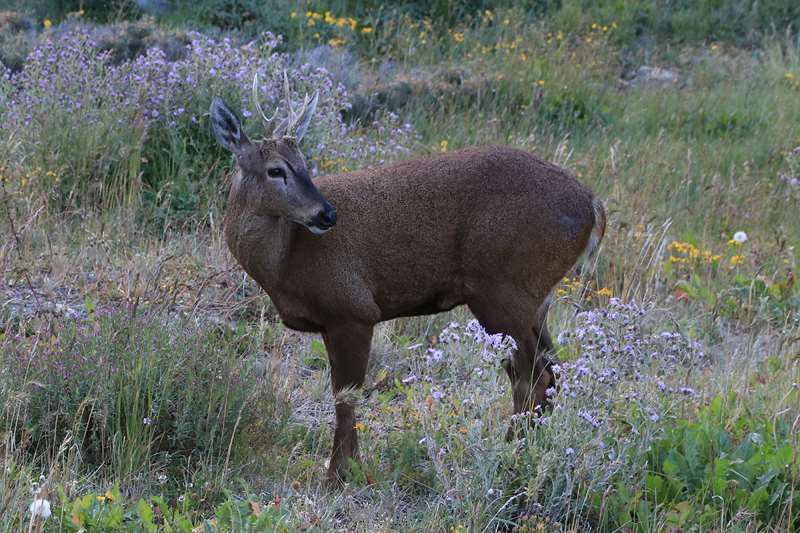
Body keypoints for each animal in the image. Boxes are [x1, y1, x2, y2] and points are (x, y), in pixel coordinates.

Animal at [209, 75, 604, 482]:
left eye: (304, 164)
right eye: (276, 169)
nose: (327, 214)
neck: (285, 259)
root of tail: (592, 204)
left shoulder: (353, 309)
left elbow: (346, 397)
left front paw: (340, 476)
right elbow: (343, 395)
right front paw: (348, 469)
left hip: (504, 290)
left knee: (533, 377)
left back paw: (509, 454)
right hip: (535, 299)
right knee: (549, 372)